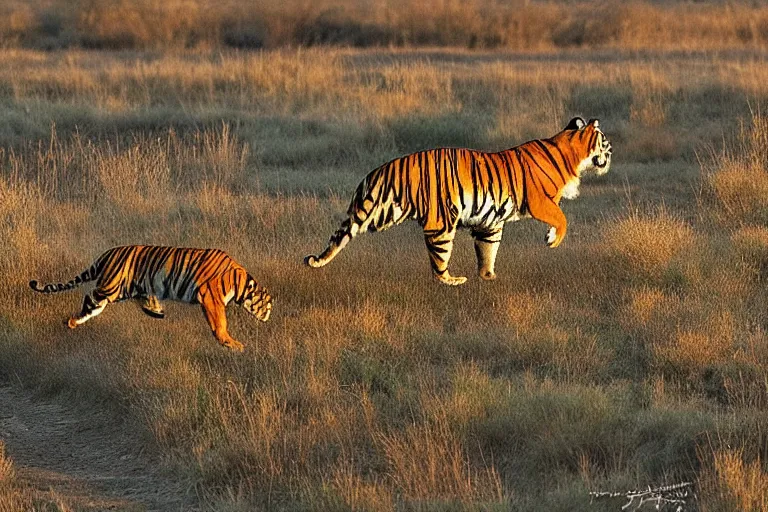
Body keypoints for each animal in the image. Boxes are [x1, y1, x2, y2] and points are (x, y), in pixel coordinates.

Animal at [30, 245, 276, 352]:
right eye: (268, 305)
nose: (269, 317)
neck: (242, 282)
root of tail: (107, 253)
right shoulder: (210, 297)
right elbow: (220, 322)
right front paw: (230, 343)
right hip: (111, 287)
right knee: (90, 298)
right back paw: (71, 322)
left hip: (123, 290)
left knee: (98, 305)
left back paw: (155, 309)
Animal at [304, 117, 612, 284]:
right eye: (606, 143)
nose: (610, 157)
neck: (569, 153)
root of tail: (381, 171)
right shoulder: (540, 201)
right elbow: (562, 219)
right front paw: (552, 240)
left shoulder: (490, 221)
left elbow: (488, 248)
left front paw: (488, 277)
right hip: (440, 224)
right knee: (438, 266)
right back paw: (454, 280)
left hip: (378, 212)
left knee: (342, 234)